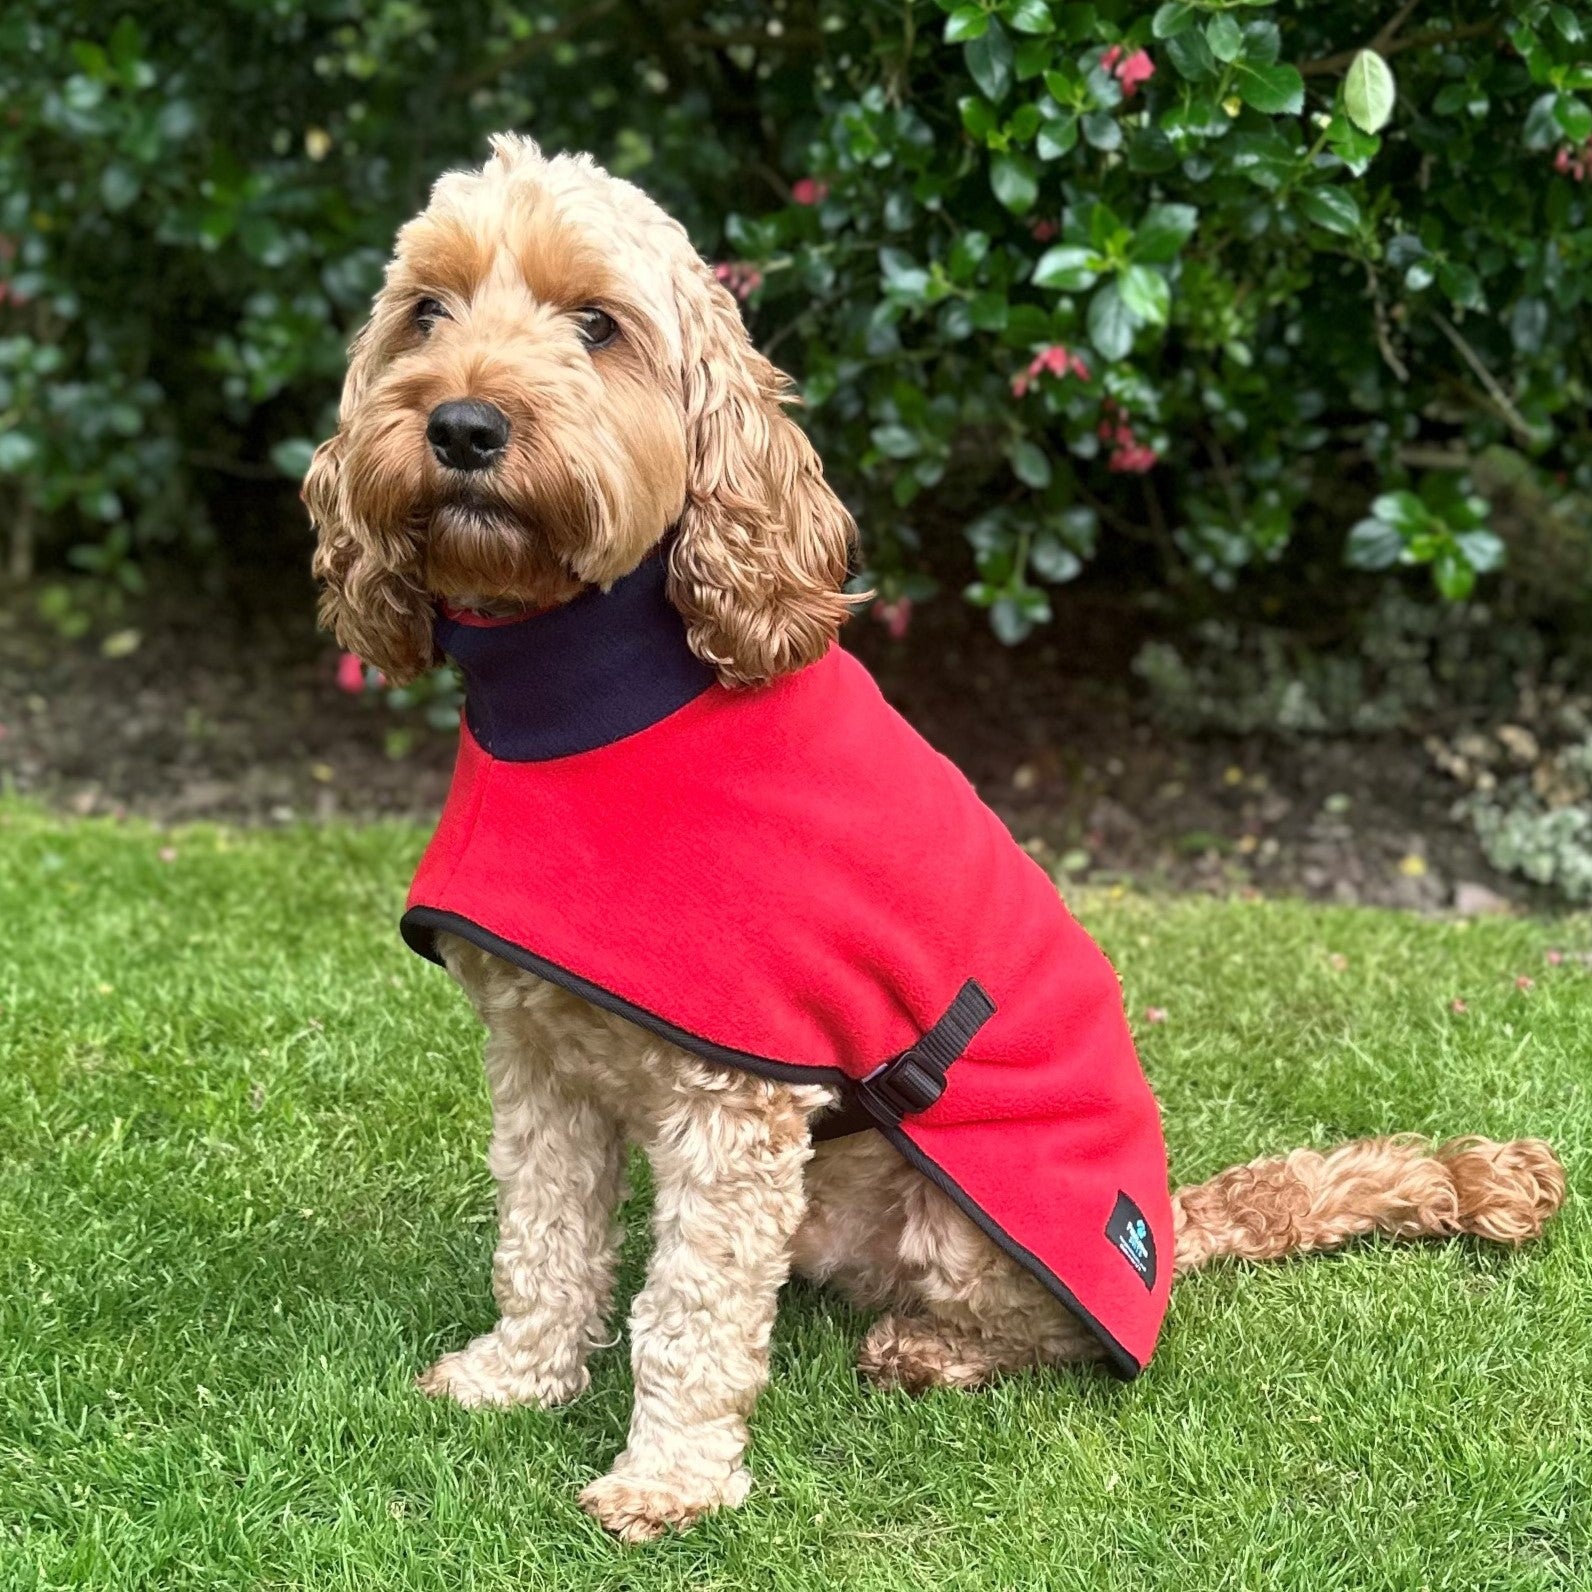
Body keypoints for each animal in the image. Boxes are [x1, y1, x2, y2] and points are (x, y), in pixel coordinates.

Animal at [307, 140, 1566, 1541]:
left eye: (596, 325)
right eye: (426, 312)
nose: (462, 426)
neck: (585, 705)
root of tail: (1167, 1221)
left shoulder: (730, 1104)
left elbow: (689, 1307)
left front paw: (666, 1477)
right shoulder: (540, 1063)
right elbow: (541, 1237)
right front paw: (516, 1374)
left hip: (969, 1220)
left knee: (1050, 1336)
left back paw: (931, 1350)